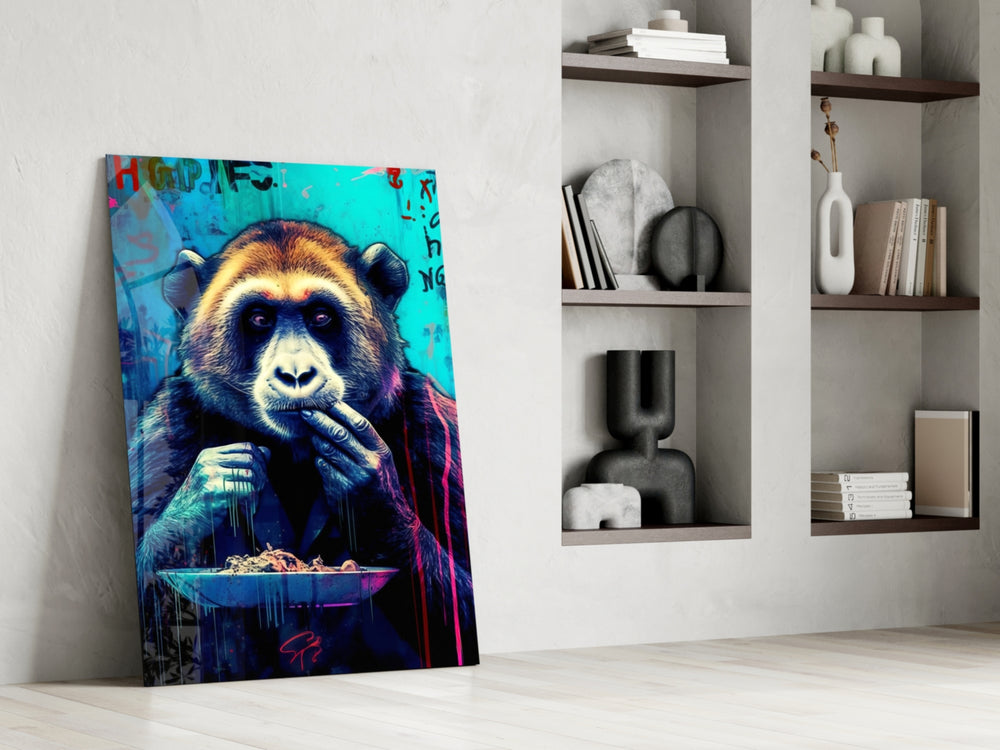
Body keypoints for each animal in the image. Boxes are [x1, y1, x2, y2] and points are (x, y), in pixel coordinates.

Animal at [128, 219, 477, 683]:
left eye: (321, 317)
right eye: (259, 319)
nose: (295, 373)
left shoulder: (433, 427)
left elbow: (463, 614)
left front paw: (369, 486)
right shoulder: (165, 425)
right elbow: (149, 606)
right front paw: (209, 487)